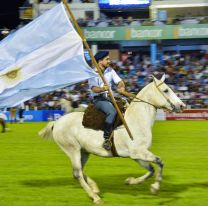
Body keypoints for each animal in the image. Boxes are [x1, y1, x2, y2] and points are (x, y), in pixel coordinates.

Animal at [38, 75, 185, 204]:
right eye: (166, 90)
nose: (182, 105)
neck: (136, 120)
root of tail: (56, 122)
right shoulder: (138, 152)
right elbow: (160, 163)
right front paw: (155, 187)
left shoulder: (136, 155)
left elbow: (151, 169)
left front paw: (131, 181)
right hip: (72, 150)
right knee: (77, 173)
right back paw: (95, 198)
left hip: (84, 151)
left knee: (78, 172)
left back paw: (95, 188)